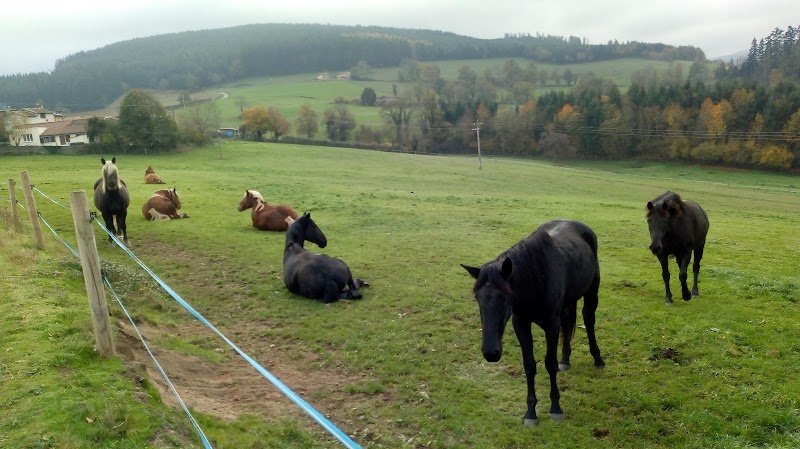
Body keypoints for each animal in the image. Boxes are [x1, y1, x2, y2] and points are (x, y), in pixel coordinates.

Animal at [461, 220, 605, 426]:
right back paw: (565, 359)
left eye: (505, 297)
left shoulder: (551, 325)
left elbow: (550, 363)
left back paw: (598, 359)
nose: (491, 353)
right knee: (568, 324)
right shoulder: (521, 324)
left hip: (592, 292)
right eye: (477, 299)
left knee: (589, 320)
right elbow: (529, 365)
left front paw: (555, 408)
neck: (535, 279)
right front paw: (530, 412)